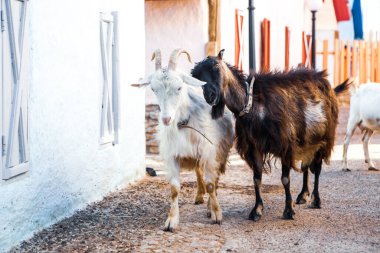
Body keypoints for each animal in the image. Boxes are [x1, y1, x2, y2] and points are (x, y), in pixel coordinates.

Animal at [134, 48, 235, 232]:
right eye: (153, 89)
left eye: (179, 87)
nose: (166, 119)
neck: (184, 123)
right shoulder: (172, 156)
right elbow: (174, 189)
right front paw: (171, 221)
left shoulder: (210, 153)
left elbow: (211, 184)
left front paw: (216, 213)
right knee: (198, 172)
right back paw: (199, 196)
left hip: (220, 152)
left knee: (214, 179)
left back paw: (209, 205)